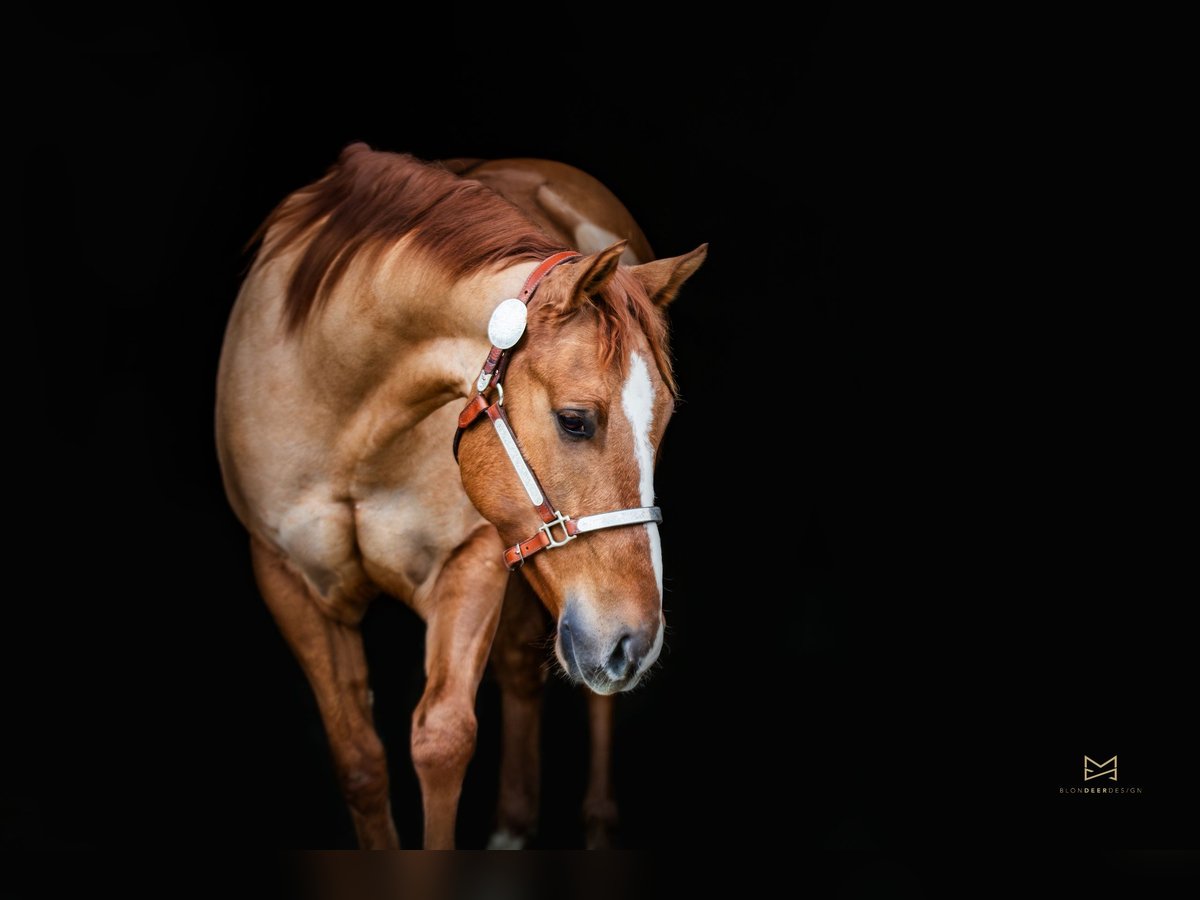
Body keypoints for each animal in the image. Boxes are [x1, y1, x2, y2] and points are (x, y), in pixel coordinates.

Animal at [216, 144, 705, 848]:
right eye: (575, 420)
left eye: (662, 429)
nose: (634, 643)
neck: (341, 398)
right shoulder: (287, 579)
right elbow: (360, 760)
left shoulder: (469, 560)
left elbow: (442, 743)